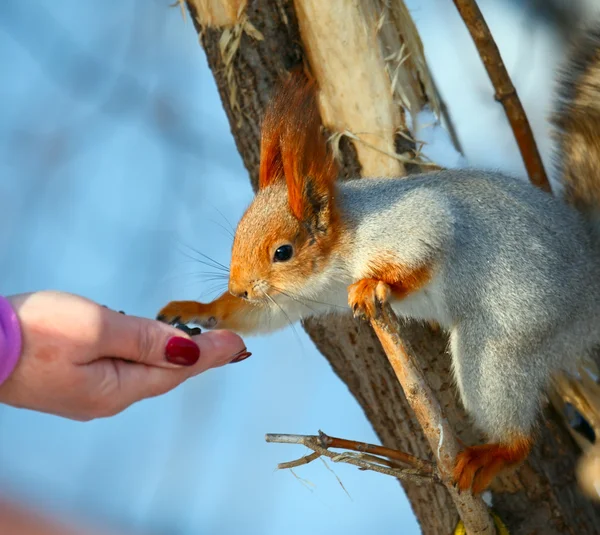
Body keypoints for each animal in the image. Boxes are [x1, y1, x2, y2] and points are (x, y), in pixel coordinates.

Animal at [157, 26, 600, 494]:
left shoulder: (408, 222)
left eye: (282, 252)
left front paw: (375, 284)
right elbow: (263, 316)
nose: (239, 288)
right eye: (237, 238)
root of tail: (591, 275)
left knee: (514, 421)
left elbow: (429, 238)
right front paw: (197, 309)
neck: (335, 260)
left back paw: (494, 453)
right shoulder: (297, 296)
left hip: (509, 337)